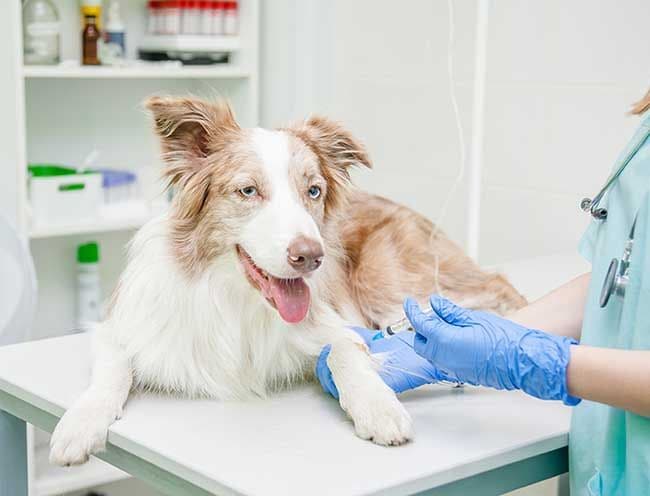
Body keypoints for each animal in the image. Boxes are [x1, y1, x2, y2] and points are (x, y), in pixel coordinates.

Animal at [50, 97, 528, 464]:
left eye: (313, 191)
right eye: (247, 191)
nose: (311, 257)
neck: (238, 300)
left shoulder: (333, 322)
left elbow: (344, 350)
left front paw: (378, 407)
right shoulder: (119, 327)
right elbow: (112, 370)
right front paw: (79, 424)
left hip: (386, 279)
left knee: (497, 288)